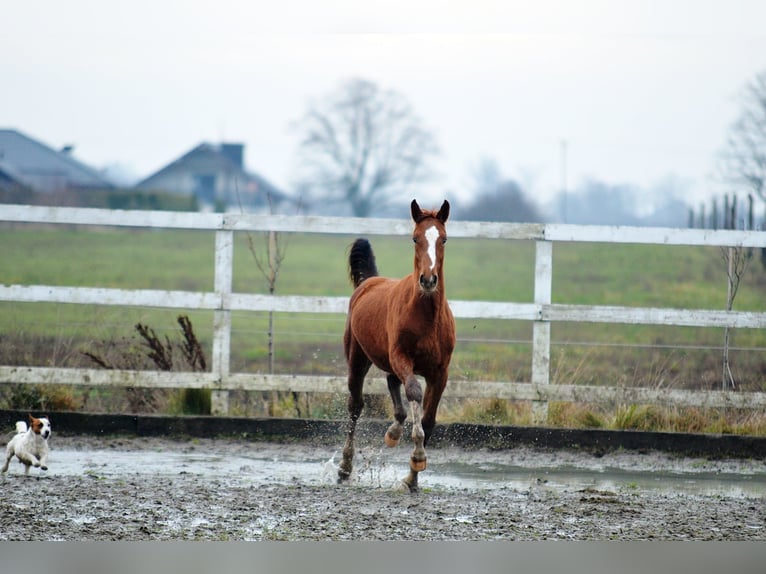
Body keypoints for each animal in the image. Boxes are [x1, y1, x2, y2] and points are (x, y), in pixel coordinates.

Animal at [338, 199, 456, 492]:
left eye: (444, 239)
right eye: (415, 238)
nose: (428, 280)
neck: (426, 316)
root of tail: (369, 281)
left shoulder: (440, 372)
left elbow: (428, 419)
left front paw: (412, 476)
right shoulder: (402, 357)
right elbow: (414, 391)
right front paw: (417, 457)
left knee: (392, 384)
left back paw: (393, 432)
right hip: (357, 359)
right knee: (355, 406)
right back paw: (344, 467)